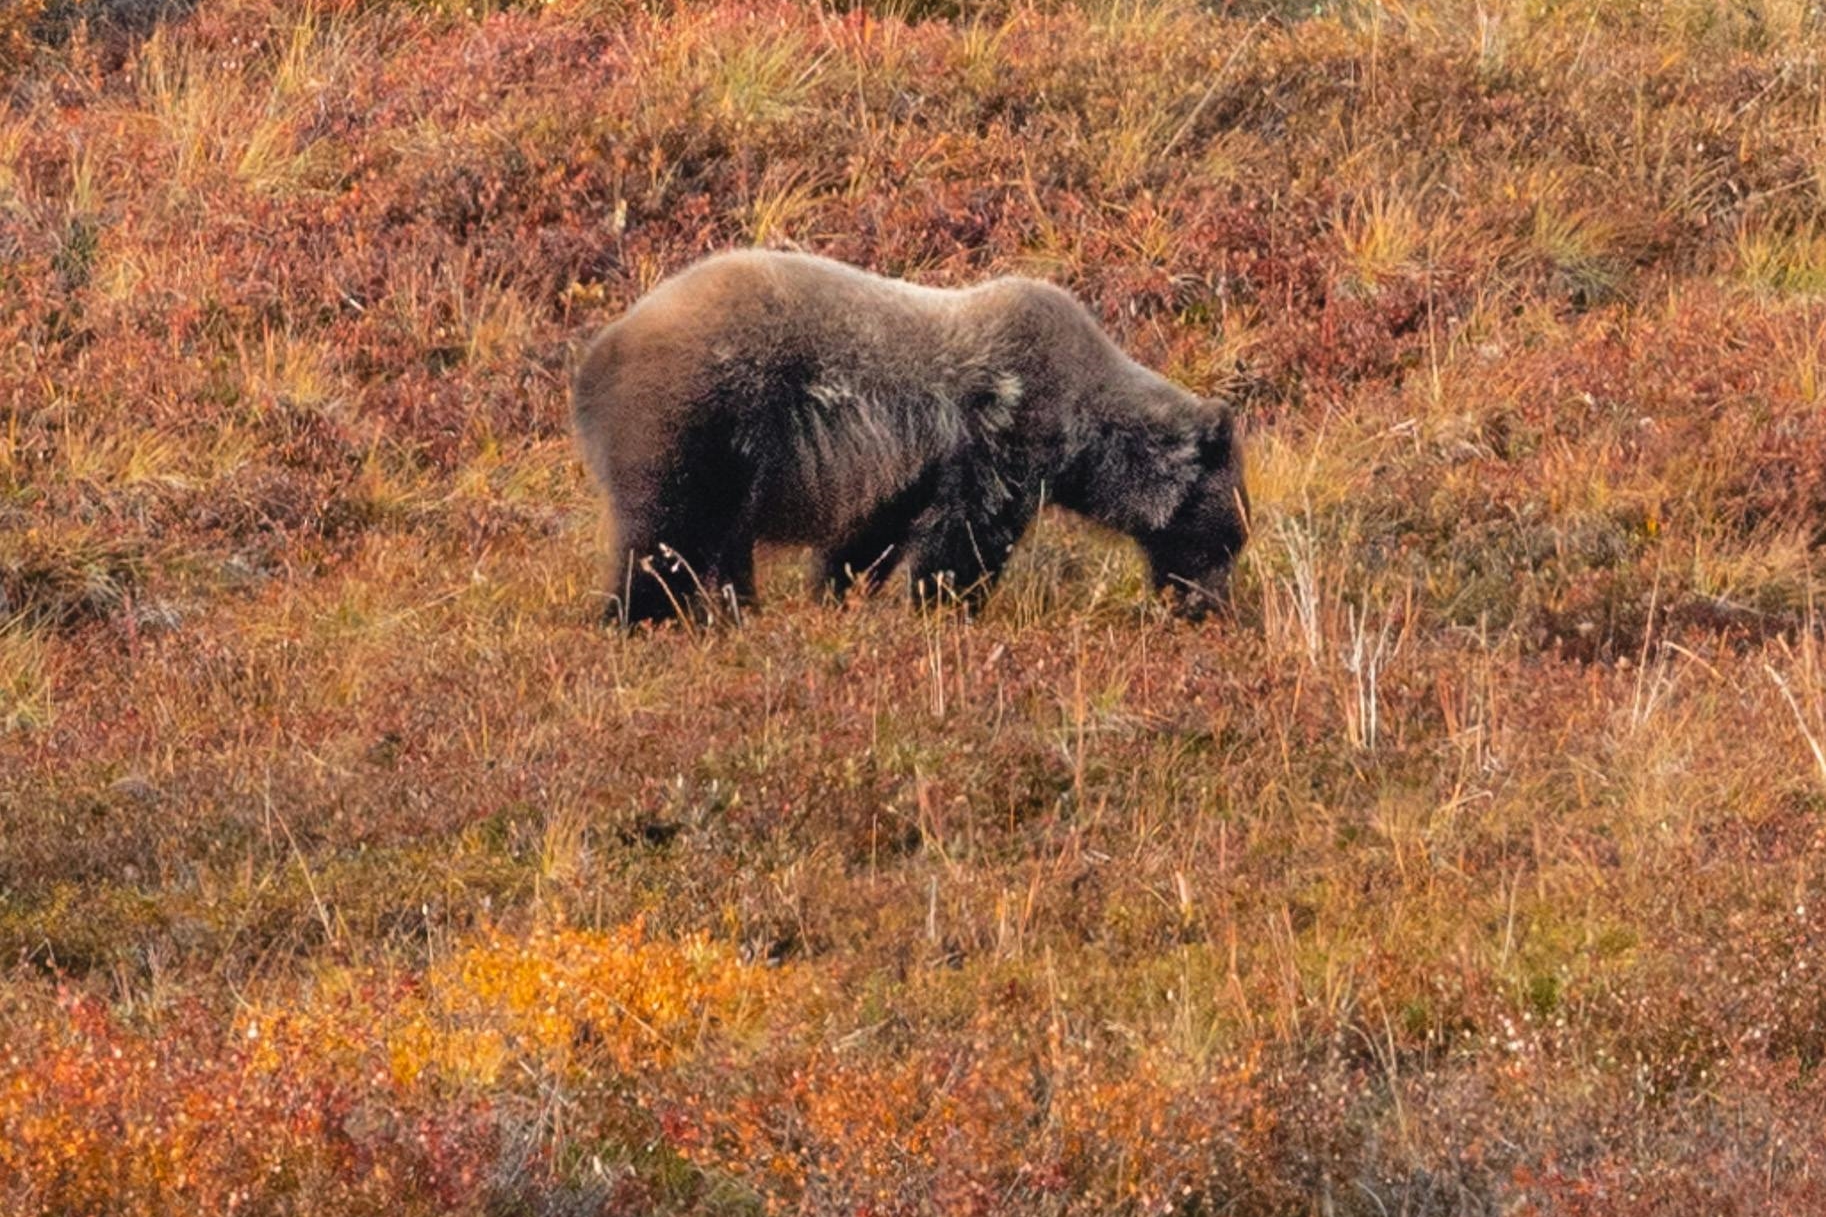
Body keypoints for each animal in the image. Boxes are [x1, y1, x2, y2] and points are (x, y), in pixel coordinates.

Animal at [571, 249, 1249, 626]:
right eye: (1226, 539)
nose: (1209, 611)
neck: (1084, 430)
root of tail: (595, 360)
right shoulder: (1001, 432)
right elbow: (967, 540)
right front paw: (944, 607)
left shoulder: (909, 468)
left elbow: (868, 540)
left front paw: (839, 597)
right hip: (704, 415)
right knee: (667, 533)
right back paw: (637, 617)